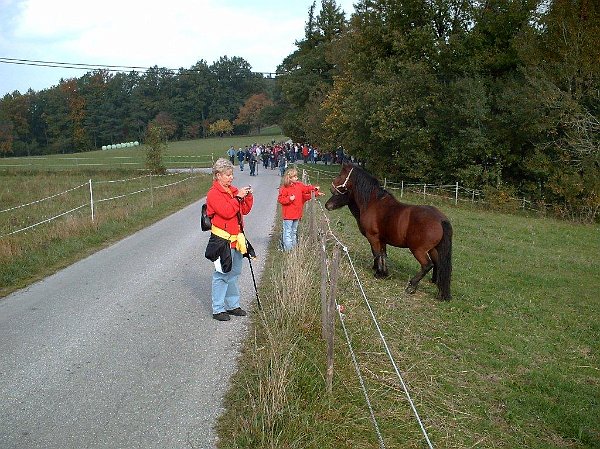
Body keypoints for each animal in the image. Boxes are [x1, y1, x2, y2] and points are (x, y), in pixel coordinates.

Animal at [326, 163, 452, 300]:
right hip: (433, 249)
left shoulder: (373, 237)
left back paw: (412, 286)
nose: (328, 204)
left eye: (340, 175)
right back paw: (438, 288)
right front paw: (384, 272)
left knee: (427, 265)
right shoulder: (382, 240)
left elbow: (376, 254)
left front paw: (378, 272)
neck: (373, 203)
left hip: (418, 250)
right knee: (439, 264)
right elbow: (383, 255)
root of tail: (441, 219)